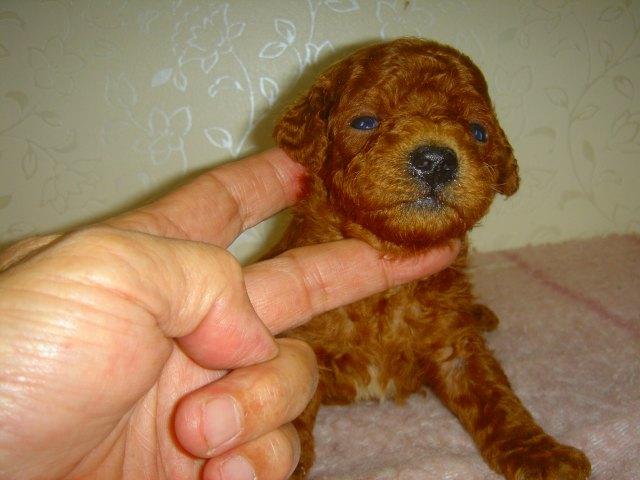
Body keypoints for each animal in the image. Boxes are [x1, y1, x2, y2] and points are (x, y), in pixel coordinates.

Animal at [271, 38, 591, 480]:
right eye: (365, 122)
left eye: (478, 131)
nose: (436, 160)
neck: (394, 258)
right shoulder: (303, 344)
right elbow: (292, 414)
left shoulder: (456, 348)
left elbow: (498, 399)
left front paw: (542, 453)